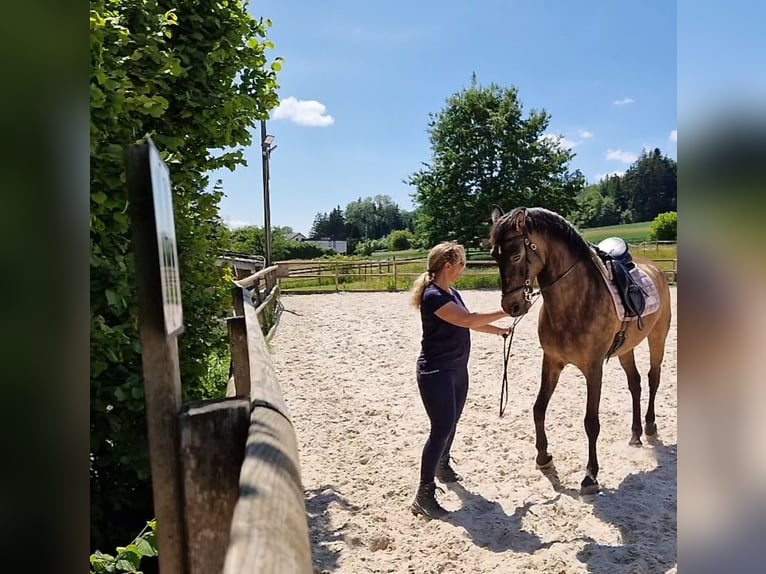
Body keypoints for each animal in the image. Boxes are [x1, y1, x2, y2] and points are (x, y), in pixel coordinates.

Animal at [488, 206, 672, 494]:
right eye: (494, 256)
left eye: (516, 254)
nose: (512, 306)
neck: (575, 301)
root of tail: (654, 268)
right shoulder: (551, 361)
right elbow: (539, 408)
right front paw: (543, 457)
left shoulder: (593, 369)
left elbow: (591, 422)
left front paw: (590, 475)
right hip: (626, 349)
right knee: (635, 383)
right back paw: (635, 434)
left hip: (657, 337)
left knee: (653, 378)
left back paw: (650, 427)